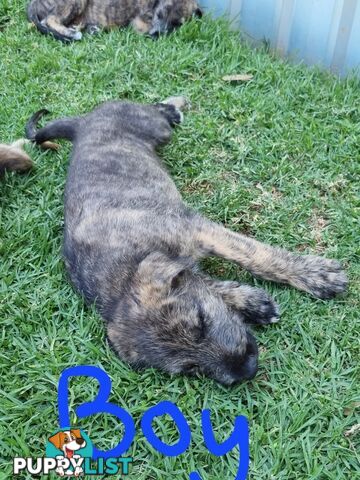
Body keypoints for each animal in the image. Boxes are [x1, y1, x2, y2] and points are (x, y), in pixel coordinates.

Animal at [25, 97, 346, 386]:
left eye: (200, 321)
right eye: (191, 368)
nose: (246, 370)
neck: (122, 276)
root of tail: (83, 122)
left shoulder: (196, 229)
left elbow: (255, 255)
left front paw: (316, 275)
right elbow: (207, 282)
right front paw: (253, 303)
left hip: (152, 127)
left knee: (157, 112)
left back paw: (172, 107)